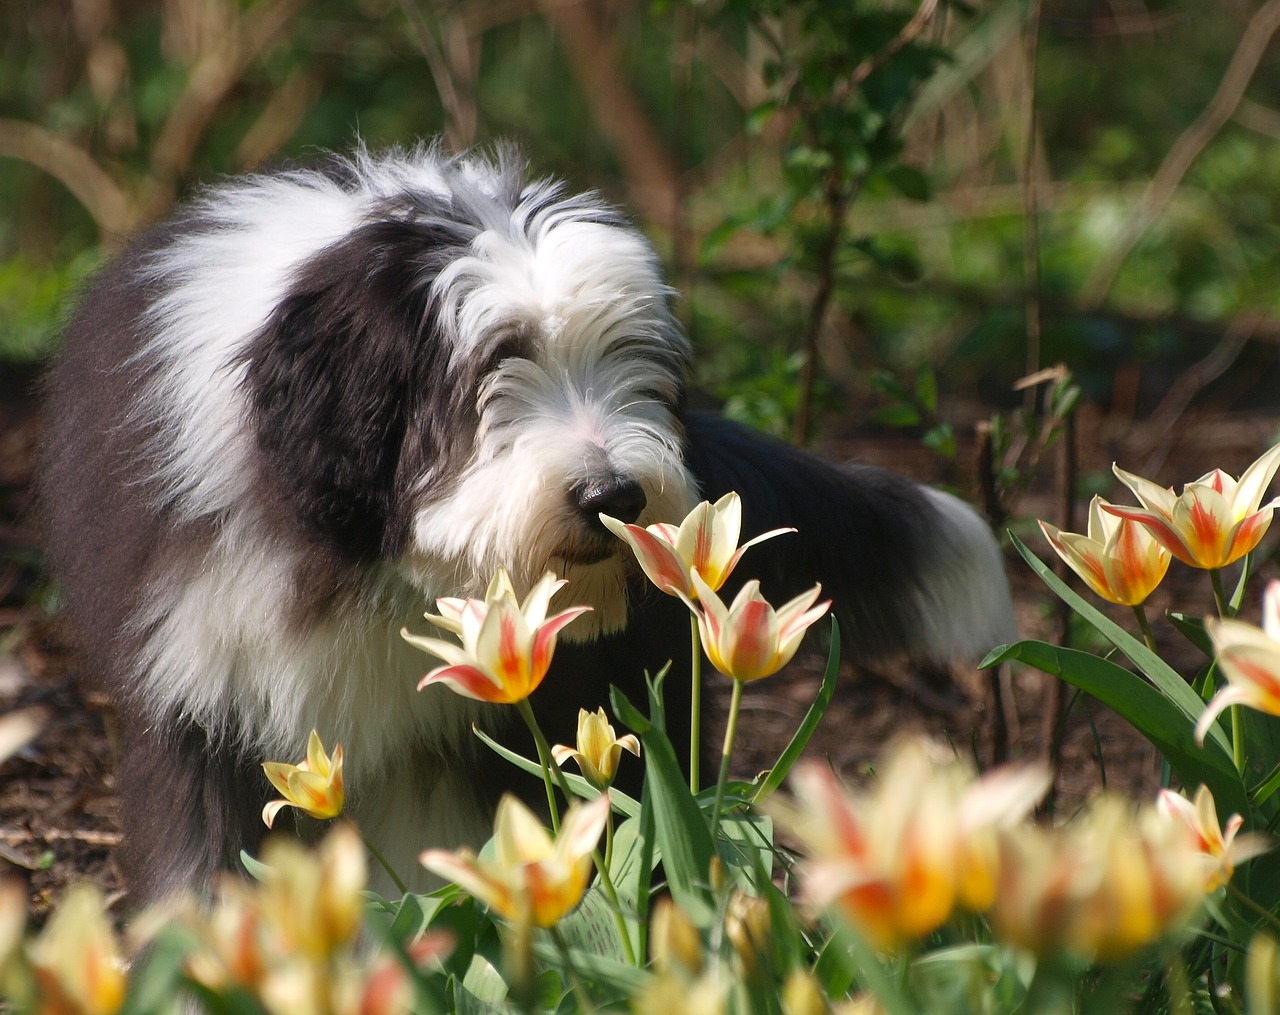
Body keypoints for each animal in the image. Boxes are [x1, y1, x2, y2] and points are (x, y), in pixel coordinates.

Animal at [40, 142, 1013, 901]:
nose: (615, 496)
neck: (369, 566)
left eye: (631, 361)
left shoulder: (485, 726)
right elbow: (202, 867)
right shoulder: (206, 702)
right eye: (493, 368)